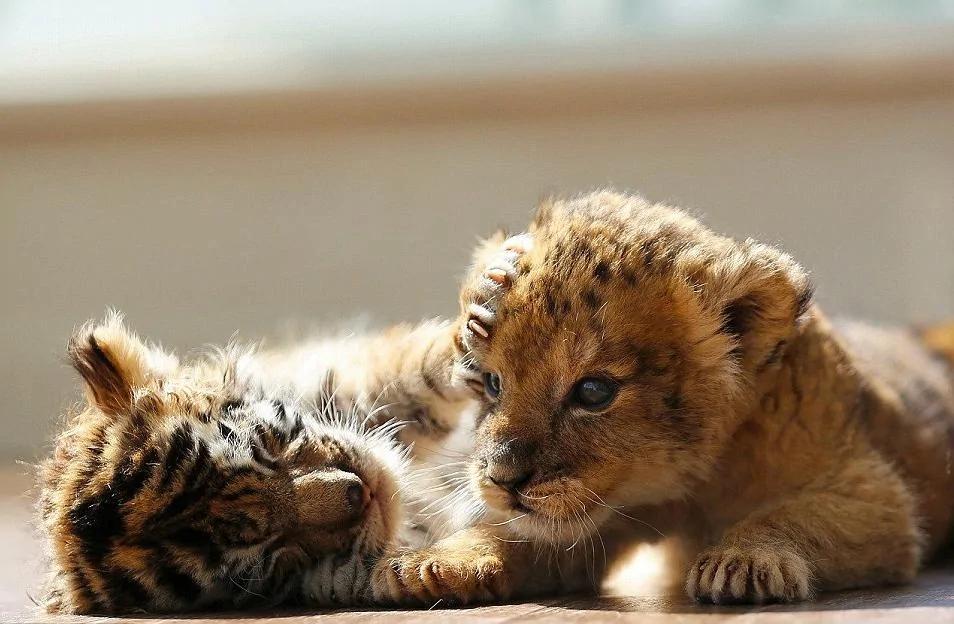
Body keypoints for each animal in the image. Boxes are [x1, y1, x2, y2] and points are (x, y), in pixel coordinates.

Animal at [38, 311, 475, 614]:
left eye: (266, 444)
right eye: (276, 554)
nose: (361, 493)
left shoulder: (336, 382)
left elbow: (410, 370)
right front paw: (431, 569)